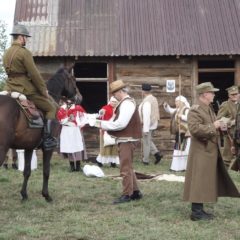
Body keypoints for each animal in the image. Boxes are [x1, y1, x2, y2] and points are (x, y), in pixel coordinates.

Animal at [0, 64, 82, 202]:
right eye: (73, 79)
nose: (80, 98)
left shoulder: (28, 146)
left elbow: (27, 171)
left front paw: (24, 195)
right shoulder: (48, 148)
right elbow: (46, 171)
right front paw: (46, 195)